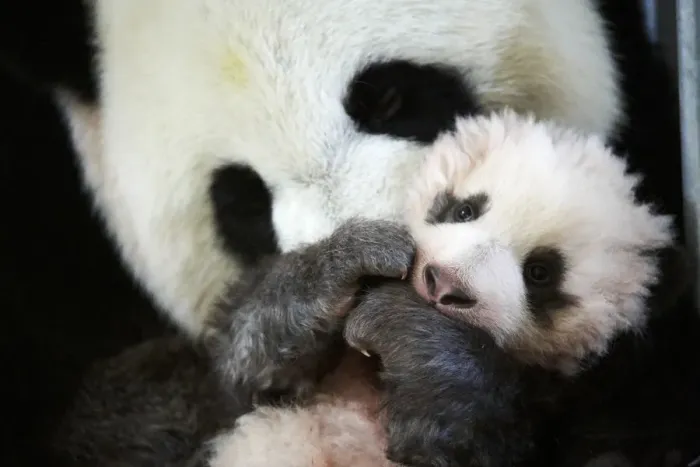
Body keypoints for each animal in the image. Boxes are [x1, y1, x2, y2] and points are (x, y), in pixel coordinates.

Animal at [51, 111, 688, 467]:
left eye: (541, 274)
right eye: (463, 208)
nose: (443, 283)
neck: (370, 374)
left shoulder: (577, 407)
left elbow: (470, 441)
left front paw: (409, 327)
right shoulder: (249, 380)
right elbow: (244, 367)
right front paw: (355, 260)